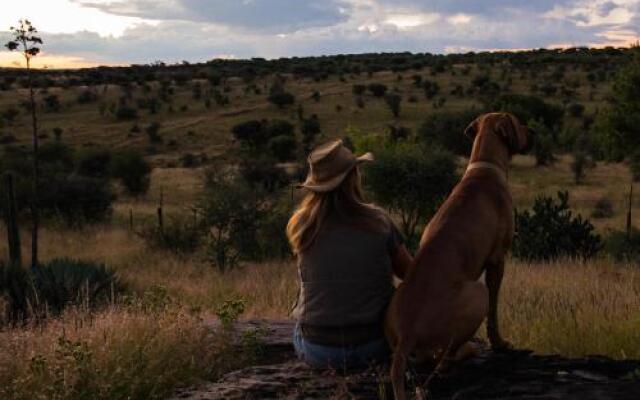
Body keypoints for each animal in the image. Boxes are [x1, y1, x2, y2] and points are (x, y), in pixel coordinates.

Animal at [388, 112, 532, 400]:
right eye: (519, 122)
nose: (532, 131)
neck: (485, 164)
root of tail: (407, 332)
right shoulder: (497, 261)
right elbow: (494, 312)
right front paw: (499, 343)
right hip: (476, 293)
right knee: (443, 358)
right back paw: (466, 351)